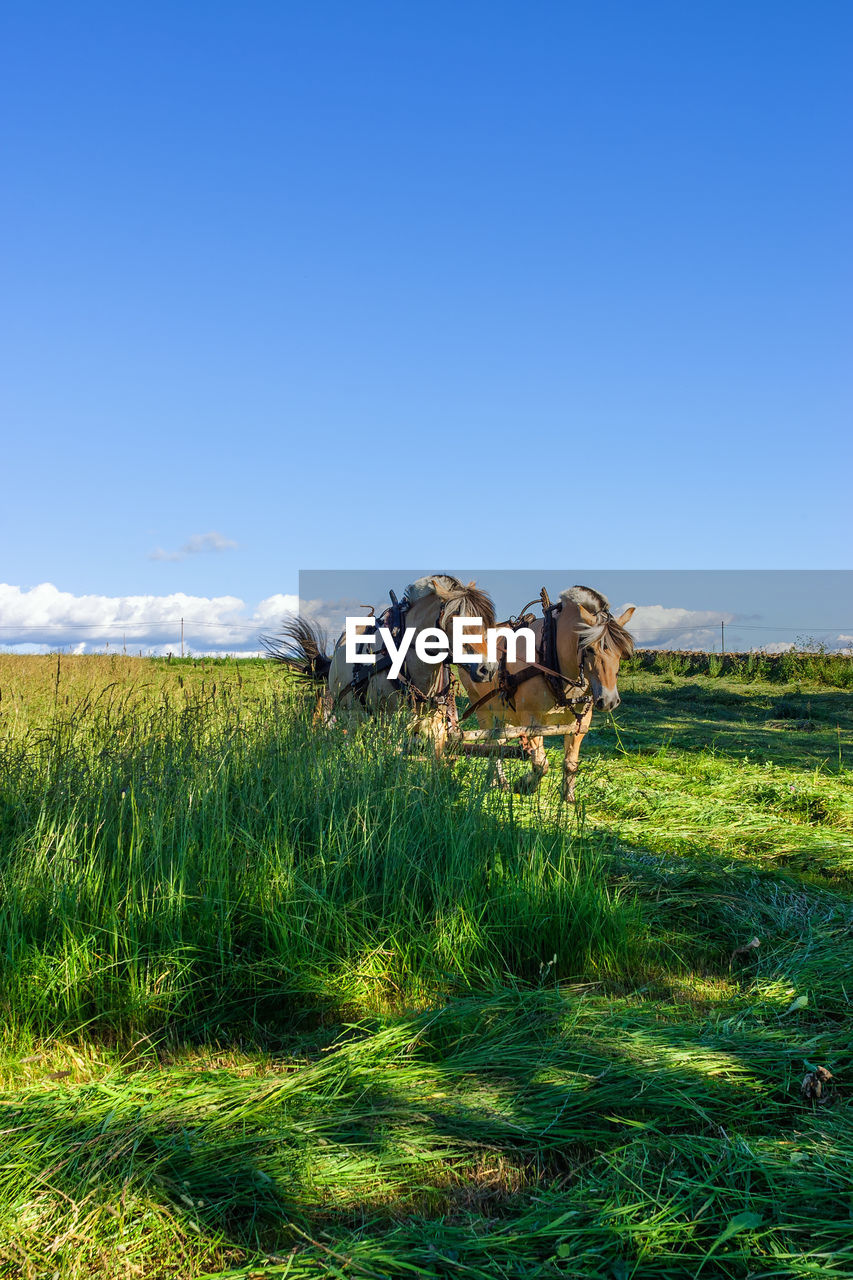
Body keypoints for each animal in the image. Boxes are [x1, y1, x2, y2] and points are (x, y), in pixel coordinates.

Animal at [450, 586, 630, 793]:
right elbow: (540, 764)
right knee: (490, 743)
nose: (609, 700)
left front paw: (568, 798)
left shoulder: (580, 723)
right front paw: (524, 784)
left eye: (621, 651)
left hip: (503, 711)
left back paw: (496, 780)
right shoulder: (531, 720)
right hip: (481, 705)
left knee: (497, 742)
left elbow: (570, 763)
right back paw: (496, 780)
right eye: (590, 649)